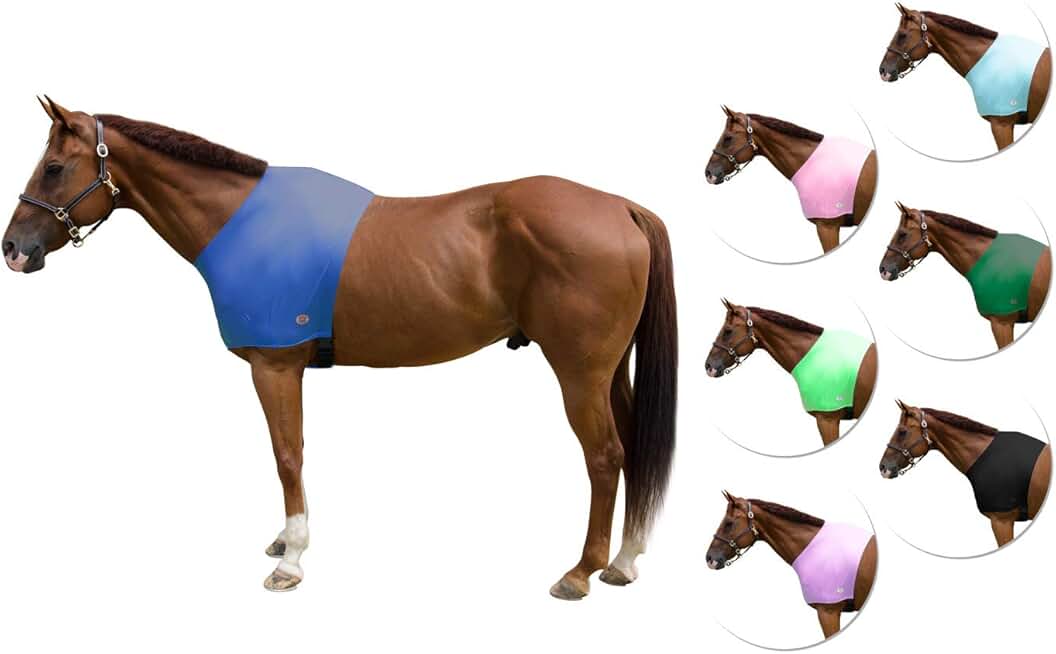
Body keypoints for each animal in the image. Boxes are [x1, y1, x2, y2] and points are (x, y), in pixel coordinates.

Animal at [2, 97, 679, 600]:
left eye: (54, 167)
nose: (14, 249)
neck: (244, 222)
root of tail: (622, 208)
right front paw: (285, 542)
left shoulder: (275, 367)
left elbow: (288, 456)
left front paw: (291, 560)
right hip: (610, 373)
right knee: (632, 445)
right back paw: (624, 561)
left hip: (579, 375)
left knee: (605, 457)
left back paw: (580, 571)